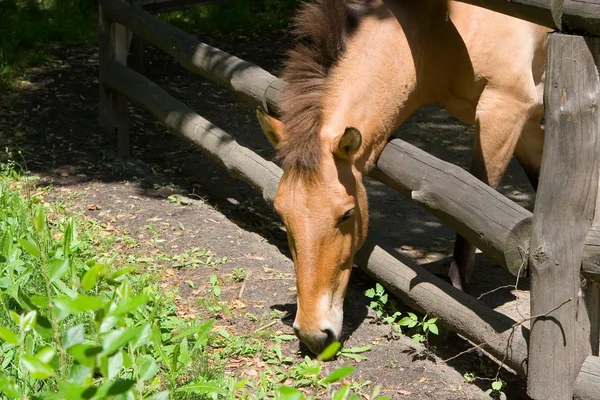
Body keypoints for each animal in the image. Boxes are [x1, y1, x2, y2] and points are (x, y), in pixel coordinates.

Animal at [255, 0, 552, 356]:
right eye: (281, 213)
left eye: (347, 214)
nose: (313, 334)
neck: (445, 25)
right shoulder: (527, 125)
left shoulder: (505, 113)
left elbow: (471, 226)